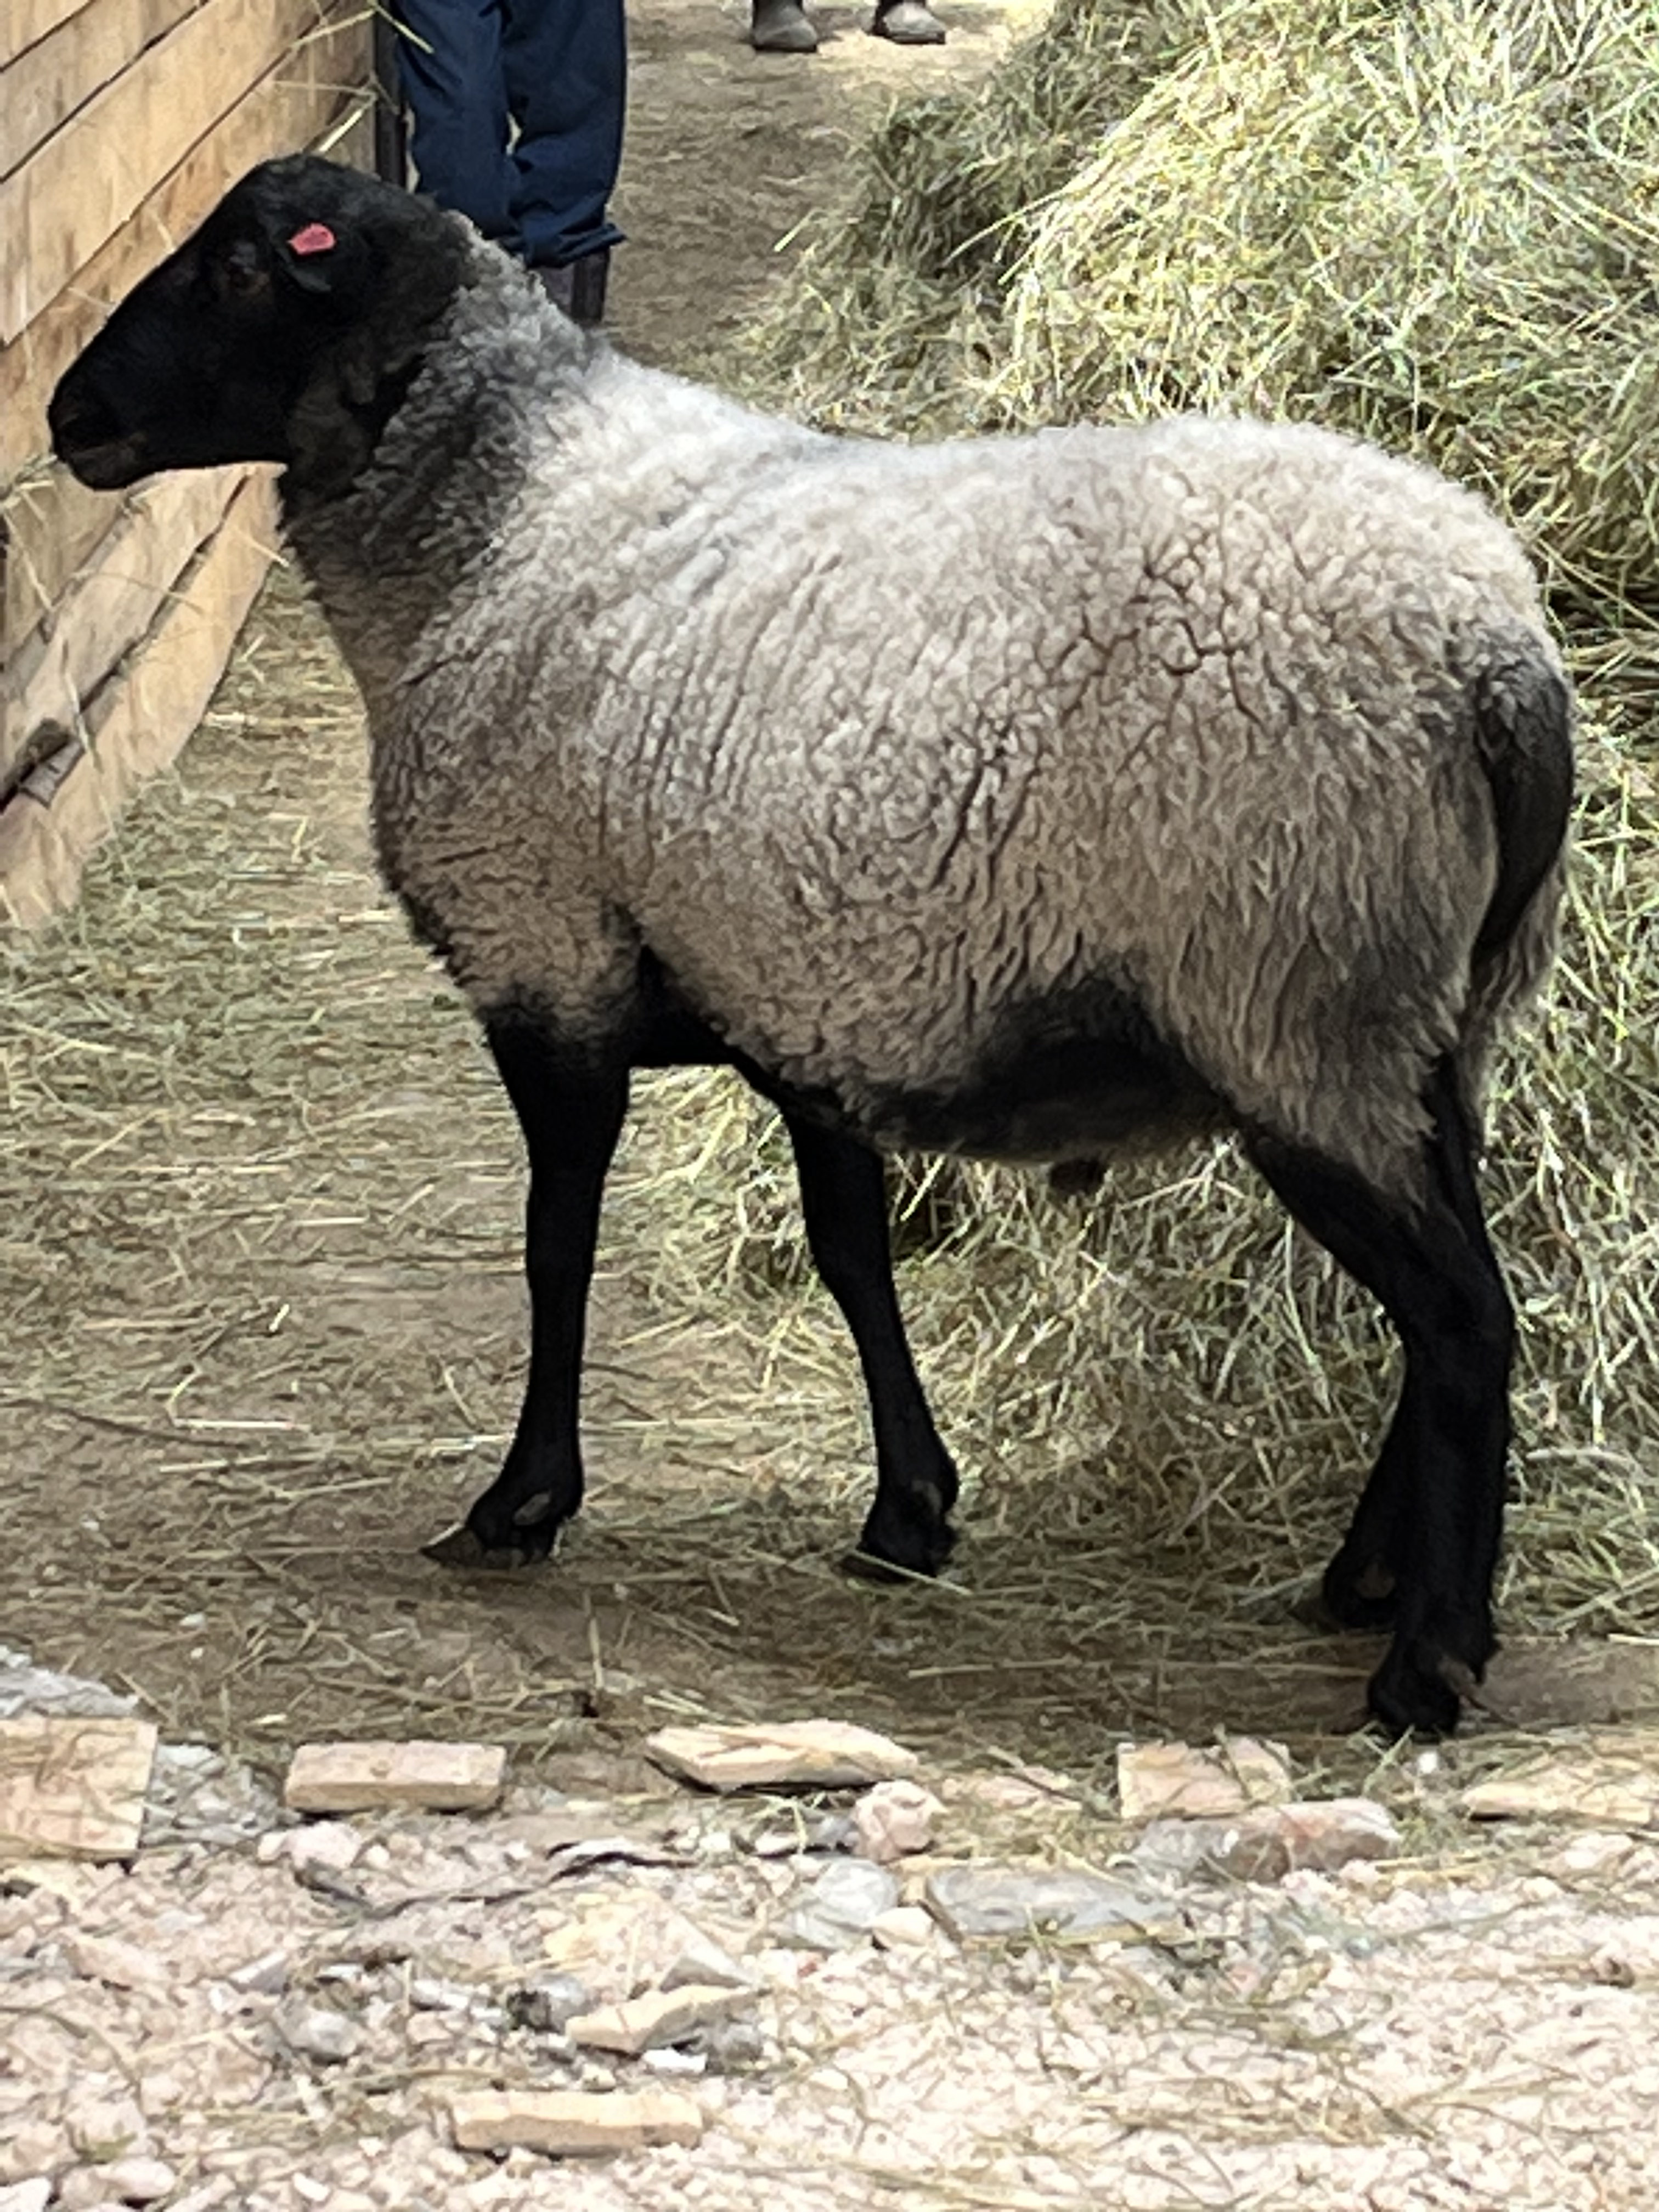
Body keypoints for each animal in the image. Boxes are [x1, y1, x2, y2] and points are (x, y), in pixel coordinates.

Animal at [49, 153, 1575, 1737]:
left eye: (240, 270)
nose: (67, 419)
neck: (493, 524)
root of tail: (1495, 660)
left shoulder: (548, 957)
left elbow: (557, 1244)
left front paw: (523, 1502)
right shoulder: (803, 996)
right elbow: (852, 1255)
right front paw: (909, 1512)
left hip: (1299, 1007)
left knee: (1463, 1324)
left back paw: (1427, 1661)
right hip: (1429, 1022)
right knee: (1466, 1287)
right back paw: (1369, 1582)